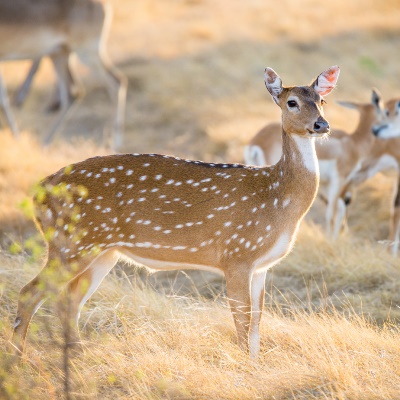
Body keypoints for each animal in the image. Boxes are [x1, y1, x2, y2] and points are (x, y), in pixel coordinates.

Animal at [0, 0, 127, 148]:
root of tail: (104, 5)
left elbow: (3, 100)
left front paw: (17, 138)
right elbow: (3, 99)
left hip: (86, 52)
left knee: (116, 82)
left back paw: (116, 143)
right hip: (60, 55)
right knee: (73, 93)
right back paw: (46, 142)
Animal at [10, 66, 340, 360]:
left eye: (321, 100)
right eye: (292, 102)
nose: (321, 125)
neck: (277, 198)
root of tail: (39, 193)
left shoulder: (262, 265)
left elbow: (258, 322)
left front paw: (256, 364)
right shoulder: (236, 254)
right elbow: (242, 321)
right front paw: (244, 365)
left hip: (100, 251)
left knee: (69, 299)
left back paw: (77, 353)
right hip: (72, 243)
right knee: (31, 293)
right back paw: (19, 358)